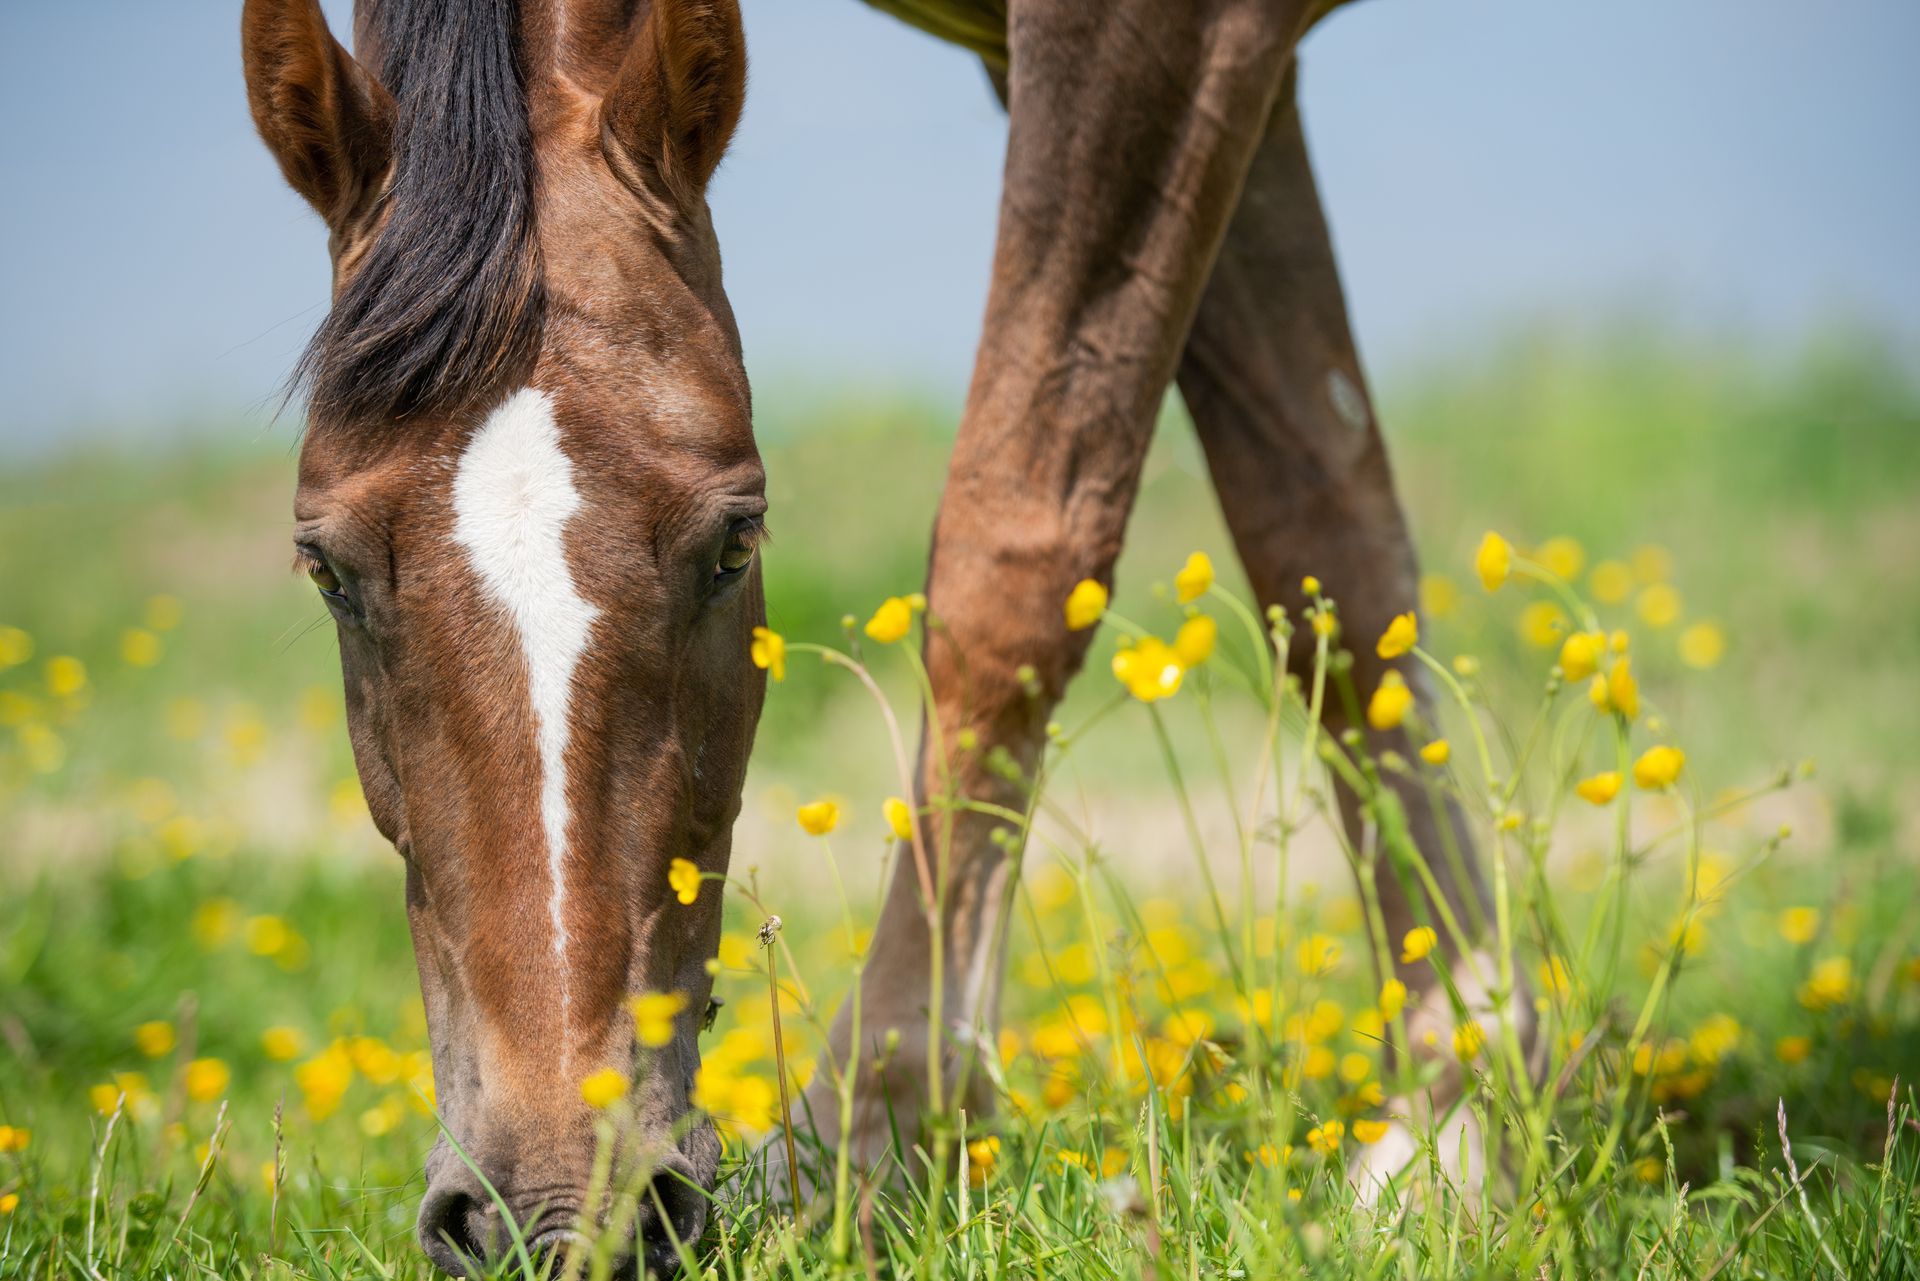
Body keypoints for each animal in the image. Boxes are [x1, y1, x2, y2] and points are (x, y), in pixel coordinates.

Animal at [242, 0, 1517, 1272]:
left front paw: (866, 1141)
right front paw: (1458, 1107)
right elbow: (1328, 539)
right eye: (327, 569)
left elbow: (1024, 545)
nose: (557, 1217)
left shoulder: (1162, 36)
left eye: (734, 543)